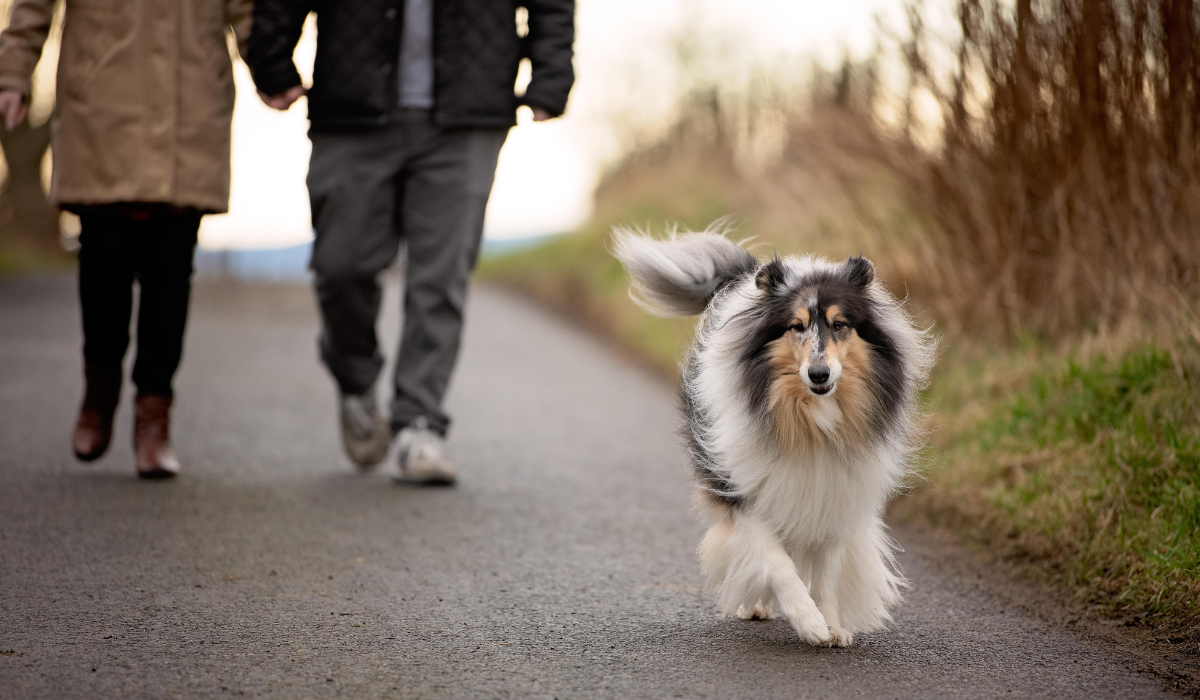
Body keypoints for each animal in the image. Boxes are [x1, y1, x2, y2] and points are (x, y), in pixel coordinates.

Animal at [614, 228, 931, 648]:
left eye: (840, 324)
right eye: (796, 326)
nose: (818, 374)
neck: (810, 420)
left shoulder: (834, 494)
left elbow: (827, 573)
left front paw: (832, 626)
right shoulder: (744, 488)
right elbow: (777, 561)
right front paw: (809, 622)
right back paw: (757, 605)